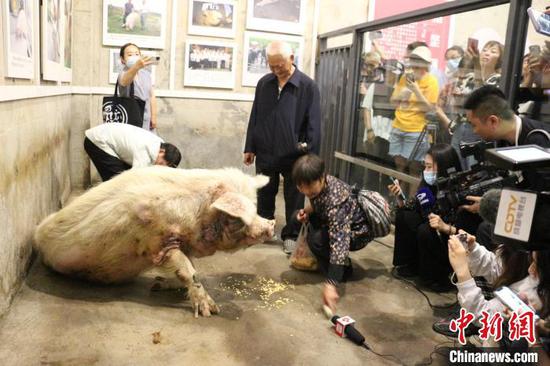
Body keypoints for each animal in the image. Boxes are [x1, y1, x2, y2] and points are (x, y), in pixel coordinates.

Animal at [34, 167, 276, 318]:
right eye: (239, 219)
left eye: (256, 207)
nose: (271, 225)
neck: (198, 215)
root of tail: (37, 236)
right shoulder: (159, 241)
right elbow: (188, 270)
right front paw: (210, 311)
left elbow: (189, 266)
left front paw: (158, 284)